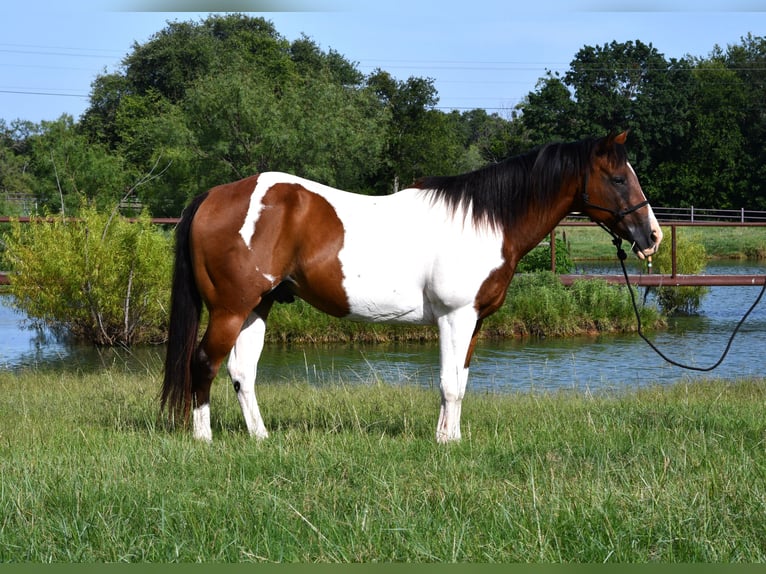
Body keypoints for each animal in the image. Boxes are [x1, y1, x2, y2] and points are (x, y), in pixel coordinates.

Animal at [161, 131, 662, 443]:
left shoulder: (474, 322)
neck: (482, 221)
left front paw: (450, 437)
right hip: (229, 309)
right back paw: (203, 438)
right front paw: (446, 445)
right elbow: (449, 383)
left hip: (256, 307)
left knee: (242, 373)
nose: (652, 236)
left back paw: (262, 437)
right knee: (202, 363)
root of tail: (214, 195)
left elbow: (460, 379)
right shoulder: (455, 317)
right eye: (618, 178)